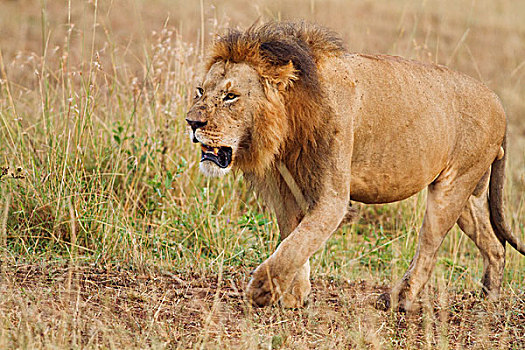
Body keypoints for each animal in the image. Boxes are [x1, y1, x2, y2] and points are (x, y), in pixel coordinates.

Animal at [185, 22, 524, 312]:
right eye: (201, 91)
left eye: (231, 96)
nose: (191, 122)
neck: (287, 126)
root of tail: (499, 103)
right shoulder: (284, 186)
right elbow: (293, 235)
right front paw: (295, 295)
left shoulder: (332, 196)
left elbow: (301, 239)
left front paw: (263, 289)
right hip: (469, 195)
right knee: (495, 246)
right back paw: (489, 300)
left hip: (452, 188)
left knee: (429, 245)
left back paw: (399, 299)